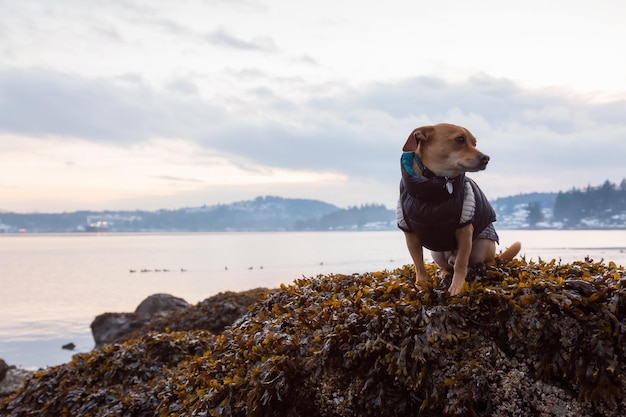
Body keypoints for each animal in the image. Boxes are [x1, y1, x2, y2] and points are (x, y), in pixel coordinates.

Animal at [394, 122, 520, 294]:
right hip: (437, 253)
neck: (433, 186)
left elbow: (461, 263)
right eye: (460, 140)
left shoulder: (465, 231)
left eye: (474, 143)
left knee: (477, 262)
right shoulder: (410, 235)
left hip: (482, 246)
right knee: (448, 267)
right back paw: (444, 273)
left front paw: (457, 287)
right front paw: (421, 285)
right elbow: (419, 265)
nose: (486, 158)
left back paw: (482, 268)